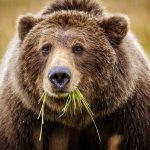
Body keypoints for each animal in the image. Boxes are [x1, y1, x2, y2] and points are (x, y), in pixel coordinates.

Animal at [0, 0, 149, 149]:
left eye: (78, 47)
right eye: (45, 47)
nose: (59, 75)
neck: (73, 115)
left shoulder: (130, 116)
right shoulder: (22, 121)